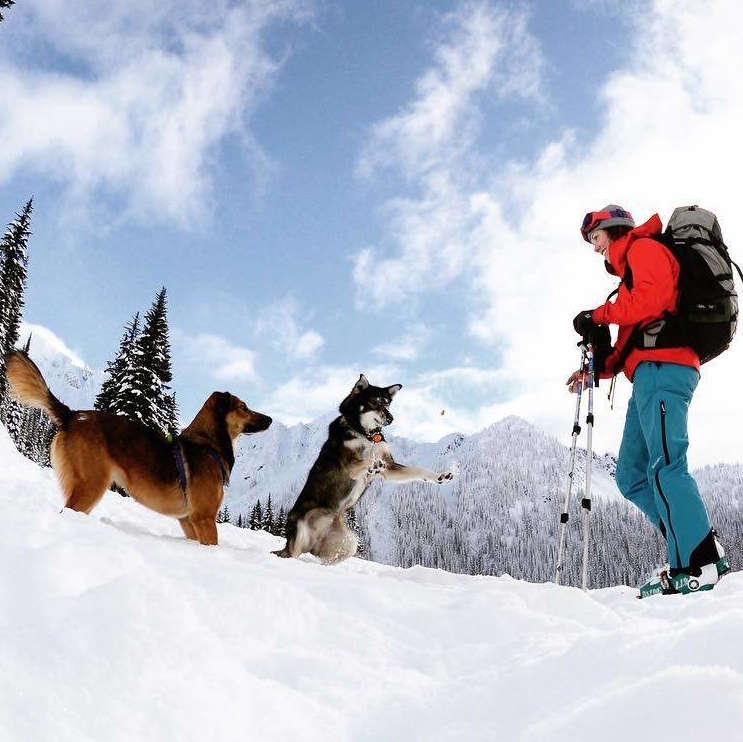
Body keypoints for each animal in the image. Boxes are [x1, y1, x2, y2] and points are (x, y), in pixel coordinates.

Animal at [4, 348, 272, 548]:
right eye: (244, 406)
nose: (270, 419)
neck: (207, 444)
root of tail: (72, 415)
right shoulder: (204, 518)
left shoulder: (188, 521)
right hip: (92, 484)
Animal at [274, 374, 454, 568]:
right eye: (375, 402)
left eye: (388, 404)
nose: (391, 418)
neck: (366, 435)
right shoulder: (350, 468)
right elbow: (367, 459)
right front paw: (373, 465)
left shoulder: (390, 467)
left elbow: (418, 470)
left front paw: (441, 477)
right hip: (300, 527)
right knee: (292, 554)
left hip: (349, 543)